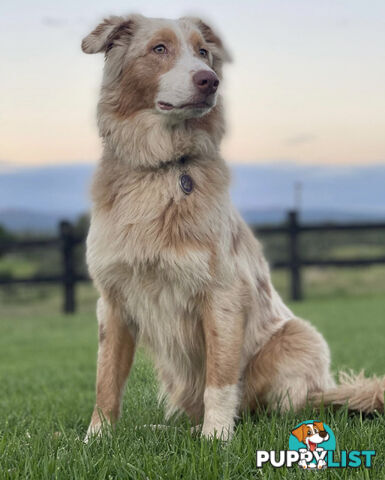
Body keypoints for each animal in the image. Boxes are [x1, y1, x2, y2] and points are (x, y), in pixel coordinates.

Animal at [81, 13, 384, 440]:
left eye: (203, 52)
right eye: (159, 49)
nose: (209, 80)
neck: (163, 168)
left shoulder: (222, 293)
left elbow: (220, 378)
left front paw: (217, 437)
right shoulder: (113, 300)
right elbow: (106, 377)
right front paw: (96, 438)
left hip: (298, 338)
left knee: (275, 410)